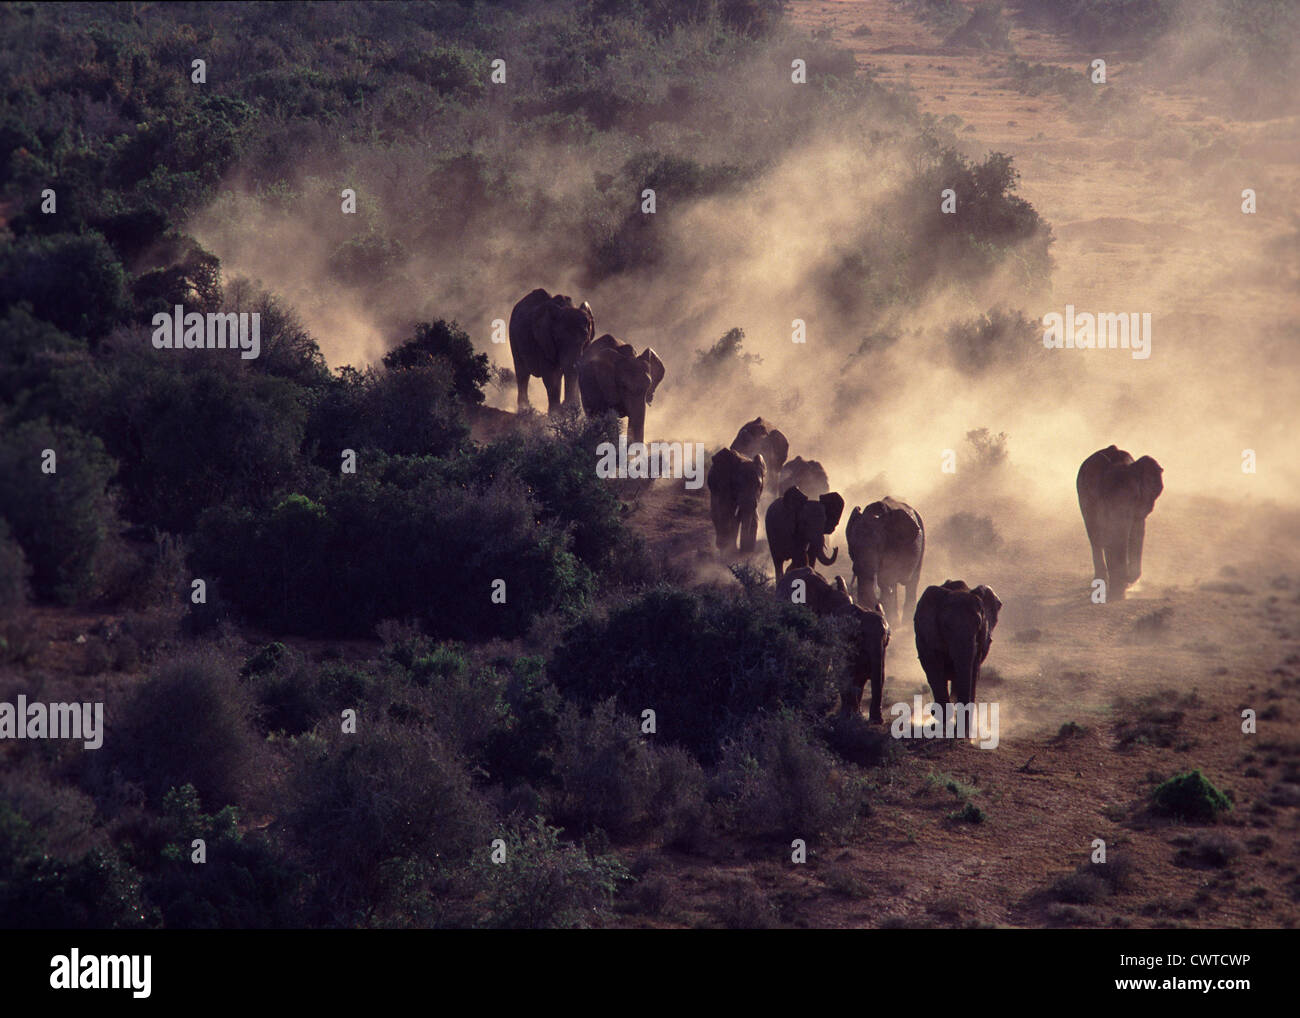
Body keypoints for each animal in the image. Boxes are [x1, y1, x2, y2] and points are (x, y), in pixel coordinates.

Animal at [777, 566, 890, 722]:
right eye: (861, 635)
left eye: (886, 640)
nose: (879, 720)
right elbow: (843, 669)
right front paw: (848, 716)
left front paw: (857, 715)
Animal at [845, 497, 925, 626]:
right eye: (852, 547)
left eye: (878, 546)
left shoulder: (893, 546)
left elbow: (885, 580)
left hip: (922, 543)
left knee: (912, 582)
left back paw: (905, 622)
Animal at [1076, 445, 1163, 599]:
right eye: (1105, 496)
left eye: (1136, 496)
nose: (1128, 581)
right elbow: (1110, 535)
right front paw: (1117, 592)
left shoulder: (1142, 505)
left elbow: (1137, 532)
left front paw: (1124, 588)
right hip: (1083, 499)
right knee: (1095, 536)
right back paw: (1101, 582)